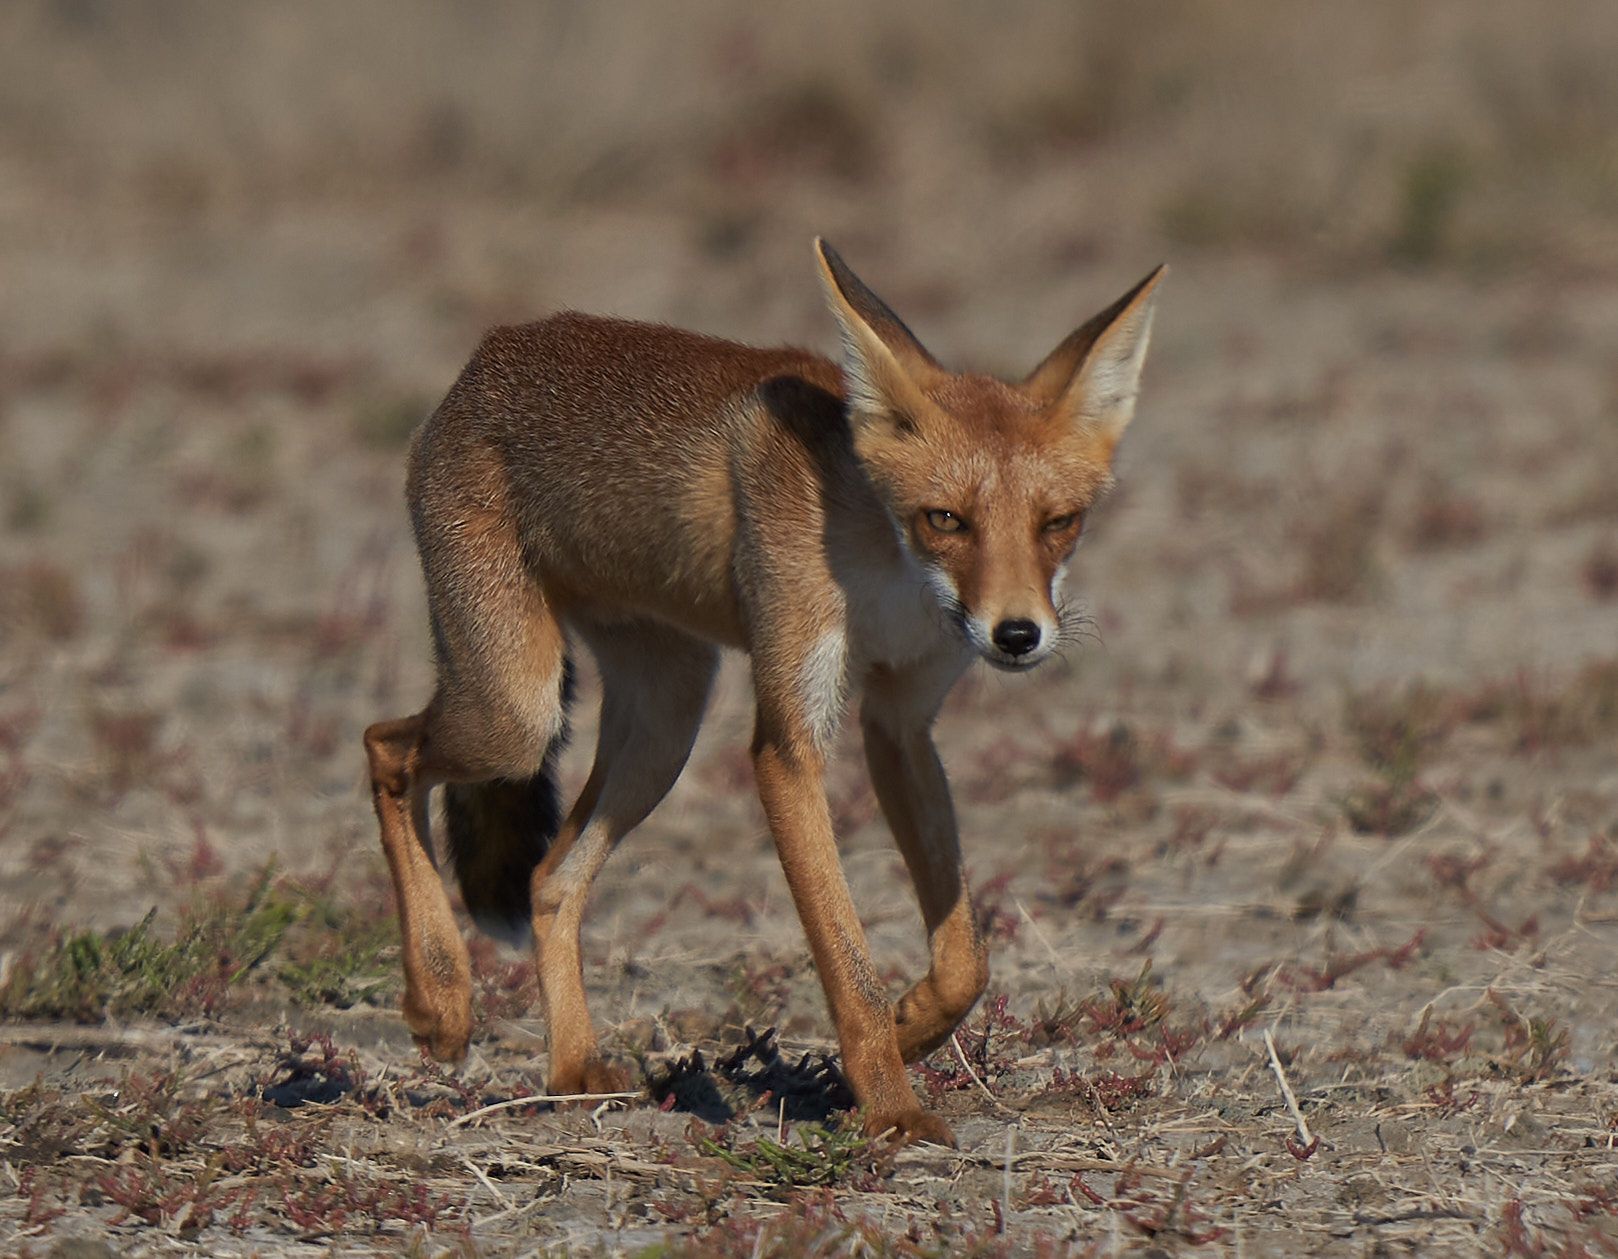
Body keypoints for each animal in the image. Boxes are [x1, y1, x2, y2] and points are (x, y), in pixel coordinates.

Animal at [364, 241, 1164, 1145]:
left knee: (548, 881)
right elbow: (848, 961)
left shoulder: (900, 725)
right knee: (387, 746)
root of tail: (485, 357)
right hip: (516, 713)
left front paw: (909, 1029)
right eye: (945, 519)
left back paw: (569, 1068)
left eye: (1057, 523)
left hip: (662, 729)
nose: (1018, 634)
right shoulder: (788, 742)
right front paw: (890, 1110)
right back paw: (439, 995)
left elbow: (965, 959)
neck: (886, 574)